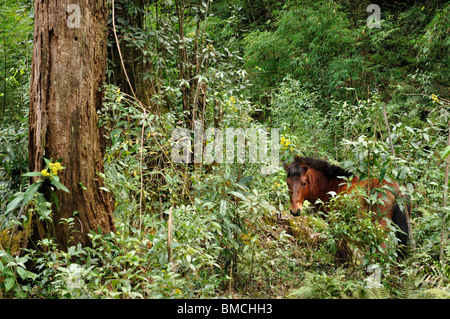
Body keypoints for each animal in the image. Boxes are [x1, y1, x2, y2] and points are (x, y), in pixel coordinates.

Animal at [284, 156, 412, 262]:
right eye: (287, 183)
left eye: (304, 183)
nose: (295, 210)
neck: (333, 186)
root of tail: (399, 190)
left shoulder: (336, 224)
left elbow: (341, 249)